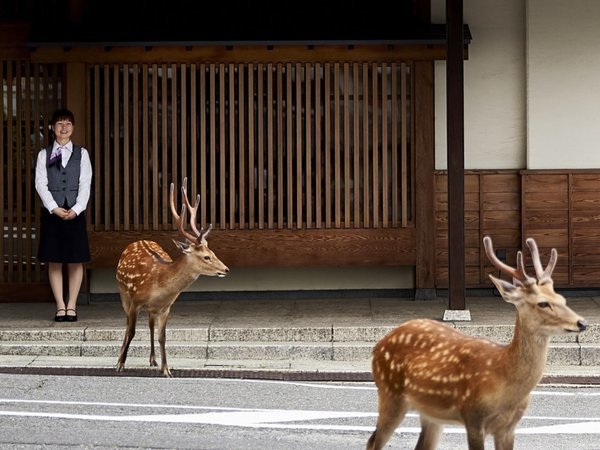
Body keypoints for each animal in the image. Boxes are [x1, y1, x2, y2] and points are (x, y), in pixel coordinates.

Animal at [116, 178, 229, 378]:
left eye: (213, 252)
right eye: (206, 257)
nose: (226, 269)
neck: (159, 285)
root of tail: (137, 241)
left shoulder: (166, 307)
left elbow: (162, 336)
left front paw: (166, 369)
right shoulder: (136, 300)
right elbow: (132, 331)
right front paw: (121, 364)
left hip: (151, 309)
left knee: (150, 325)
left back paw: (152, 360)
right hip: (123, 294)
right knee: (128, 324)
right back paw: (119, 358)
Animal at [366, 236, 584, 450]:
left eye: (562, 298)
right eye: (543, 303)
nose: (581, 322)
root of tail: (378, 346)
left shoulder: (509, 427)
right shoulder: (473, 417)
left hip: (430, 413)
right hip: (390, 394)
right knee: (373, 441)